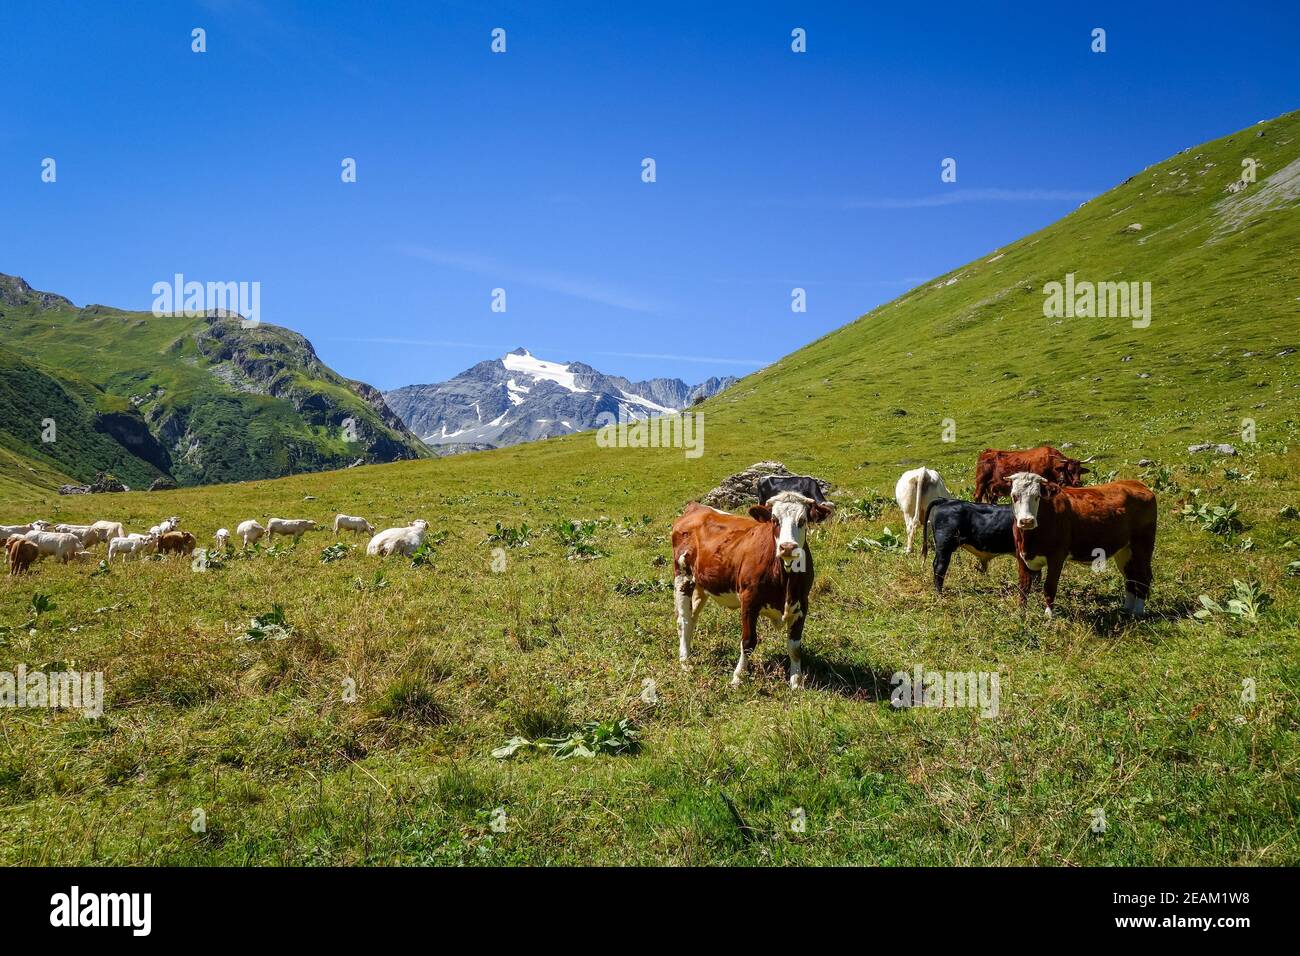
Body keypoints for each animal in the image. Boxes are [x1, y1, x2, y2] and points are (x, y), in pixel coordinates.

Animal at [670, 494, 832, 686]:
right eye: (774, 520)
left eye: (802, 520)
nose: (787, 547)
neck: (784, 578)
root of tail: (697, 507)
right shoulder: (749, 601)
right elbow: (748, 642)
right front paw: (738, 677)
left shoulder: (802, 604)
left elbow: (794, 647)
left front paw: (796, 682)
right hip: (682, 576)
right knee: (683, 620)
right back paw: (685, 662)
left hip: (701, 584)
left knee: (692, 617)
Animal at [1003, 473, 1159, 621]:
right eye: (1014, 496)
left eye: (1037, 497)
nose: (1026, 521)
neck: (1029, 538)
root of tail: (1137, 483)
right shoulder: (1021, 555)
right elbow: (1023, 586)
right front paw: (1021, 613)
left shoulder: (1057, 556)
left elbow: (1049, 586)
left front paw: (1049, 616)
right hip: (1124, 551)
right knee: (1130, 577)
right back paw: (1126, 610)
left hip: (1142, 546)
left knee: (1143, 577)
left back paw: (1138, 612)